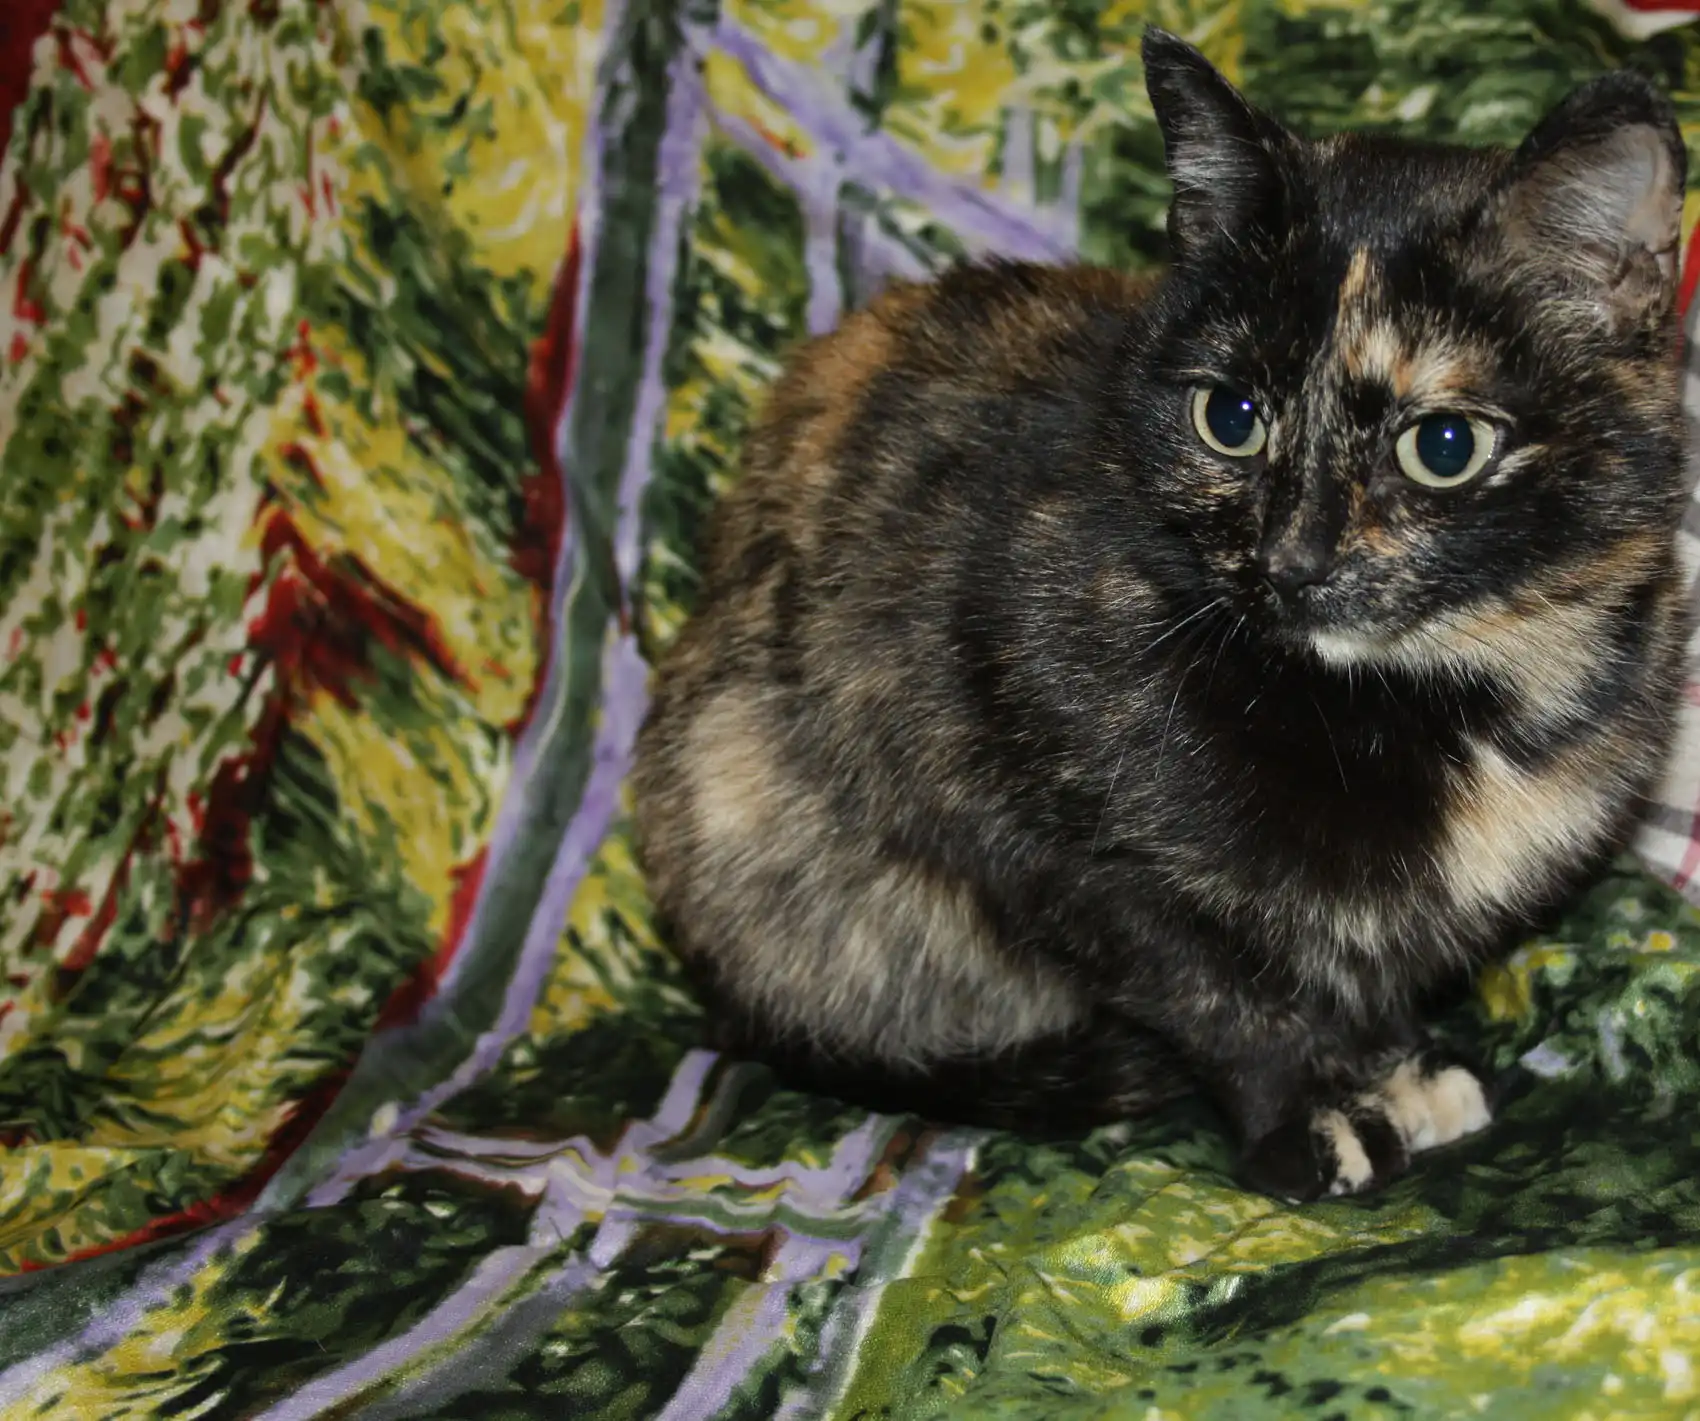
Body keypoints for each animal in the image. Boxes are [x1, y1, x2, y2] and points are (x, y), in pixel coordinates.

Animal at [631, 28, 1693, 1201]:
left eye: (1444, 445)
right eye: (1229, 417)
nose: (1290, 561)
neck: (1434, 695)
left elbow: (1362, 960)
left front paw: (1394, 1065)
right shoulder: (1043, 833)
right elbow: (1217, 990)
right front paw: (1314, 1113)